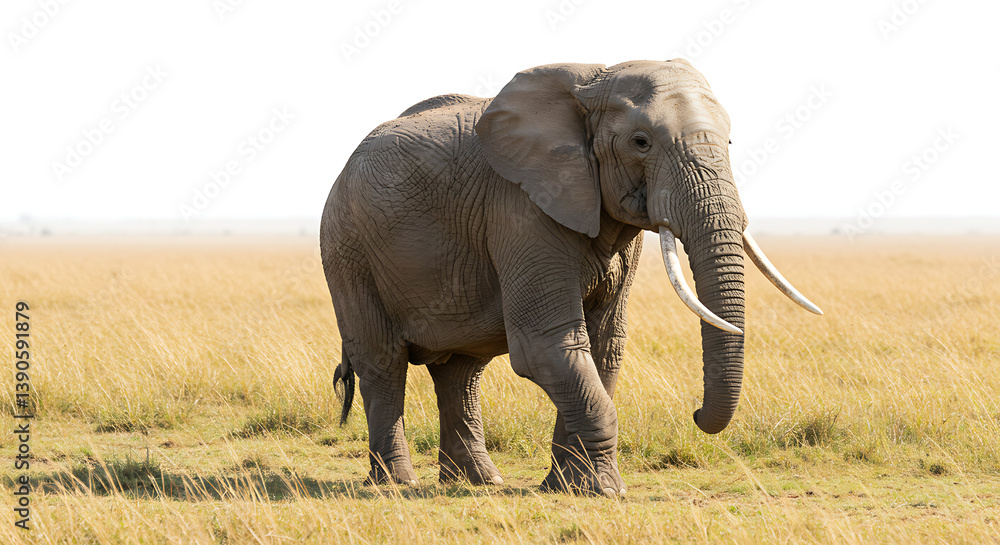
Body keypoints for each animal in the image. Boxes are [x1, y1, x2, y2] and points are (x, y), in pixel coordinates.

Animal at [320, 59, 822, 496]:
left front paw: (568, 487)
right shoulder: (520, 208)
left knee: (461, 372)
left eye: (730, 144)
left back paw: (479, 482)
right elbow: (549, 344)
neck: (592, 84)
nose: (696, 413)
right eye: (641, 142)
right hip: (347, 249)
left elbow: (602, 347)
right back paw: (396, 484)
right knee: (383, 362)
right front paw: (606, 491)